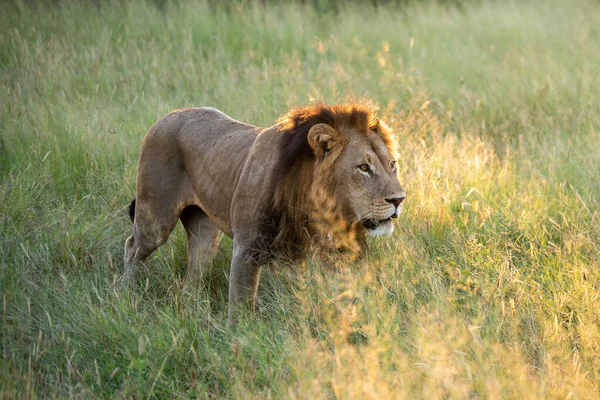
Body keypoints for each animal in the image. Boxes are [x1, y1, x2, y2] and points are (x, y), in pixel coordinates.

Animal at [126, 101, 408, 318]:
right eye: (363, 168)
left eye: (392, 164)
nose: (399, 200)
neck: (321, 210)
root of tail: (167, 116)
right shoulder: (246, 249)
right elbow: (241, 309)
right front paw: (240, 342)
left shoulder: (337, 257)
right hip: (156, 220)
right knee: (132, 246)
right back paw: (127, 292)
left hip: (204, 231)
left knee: (194, 273)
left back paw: (190, 308)